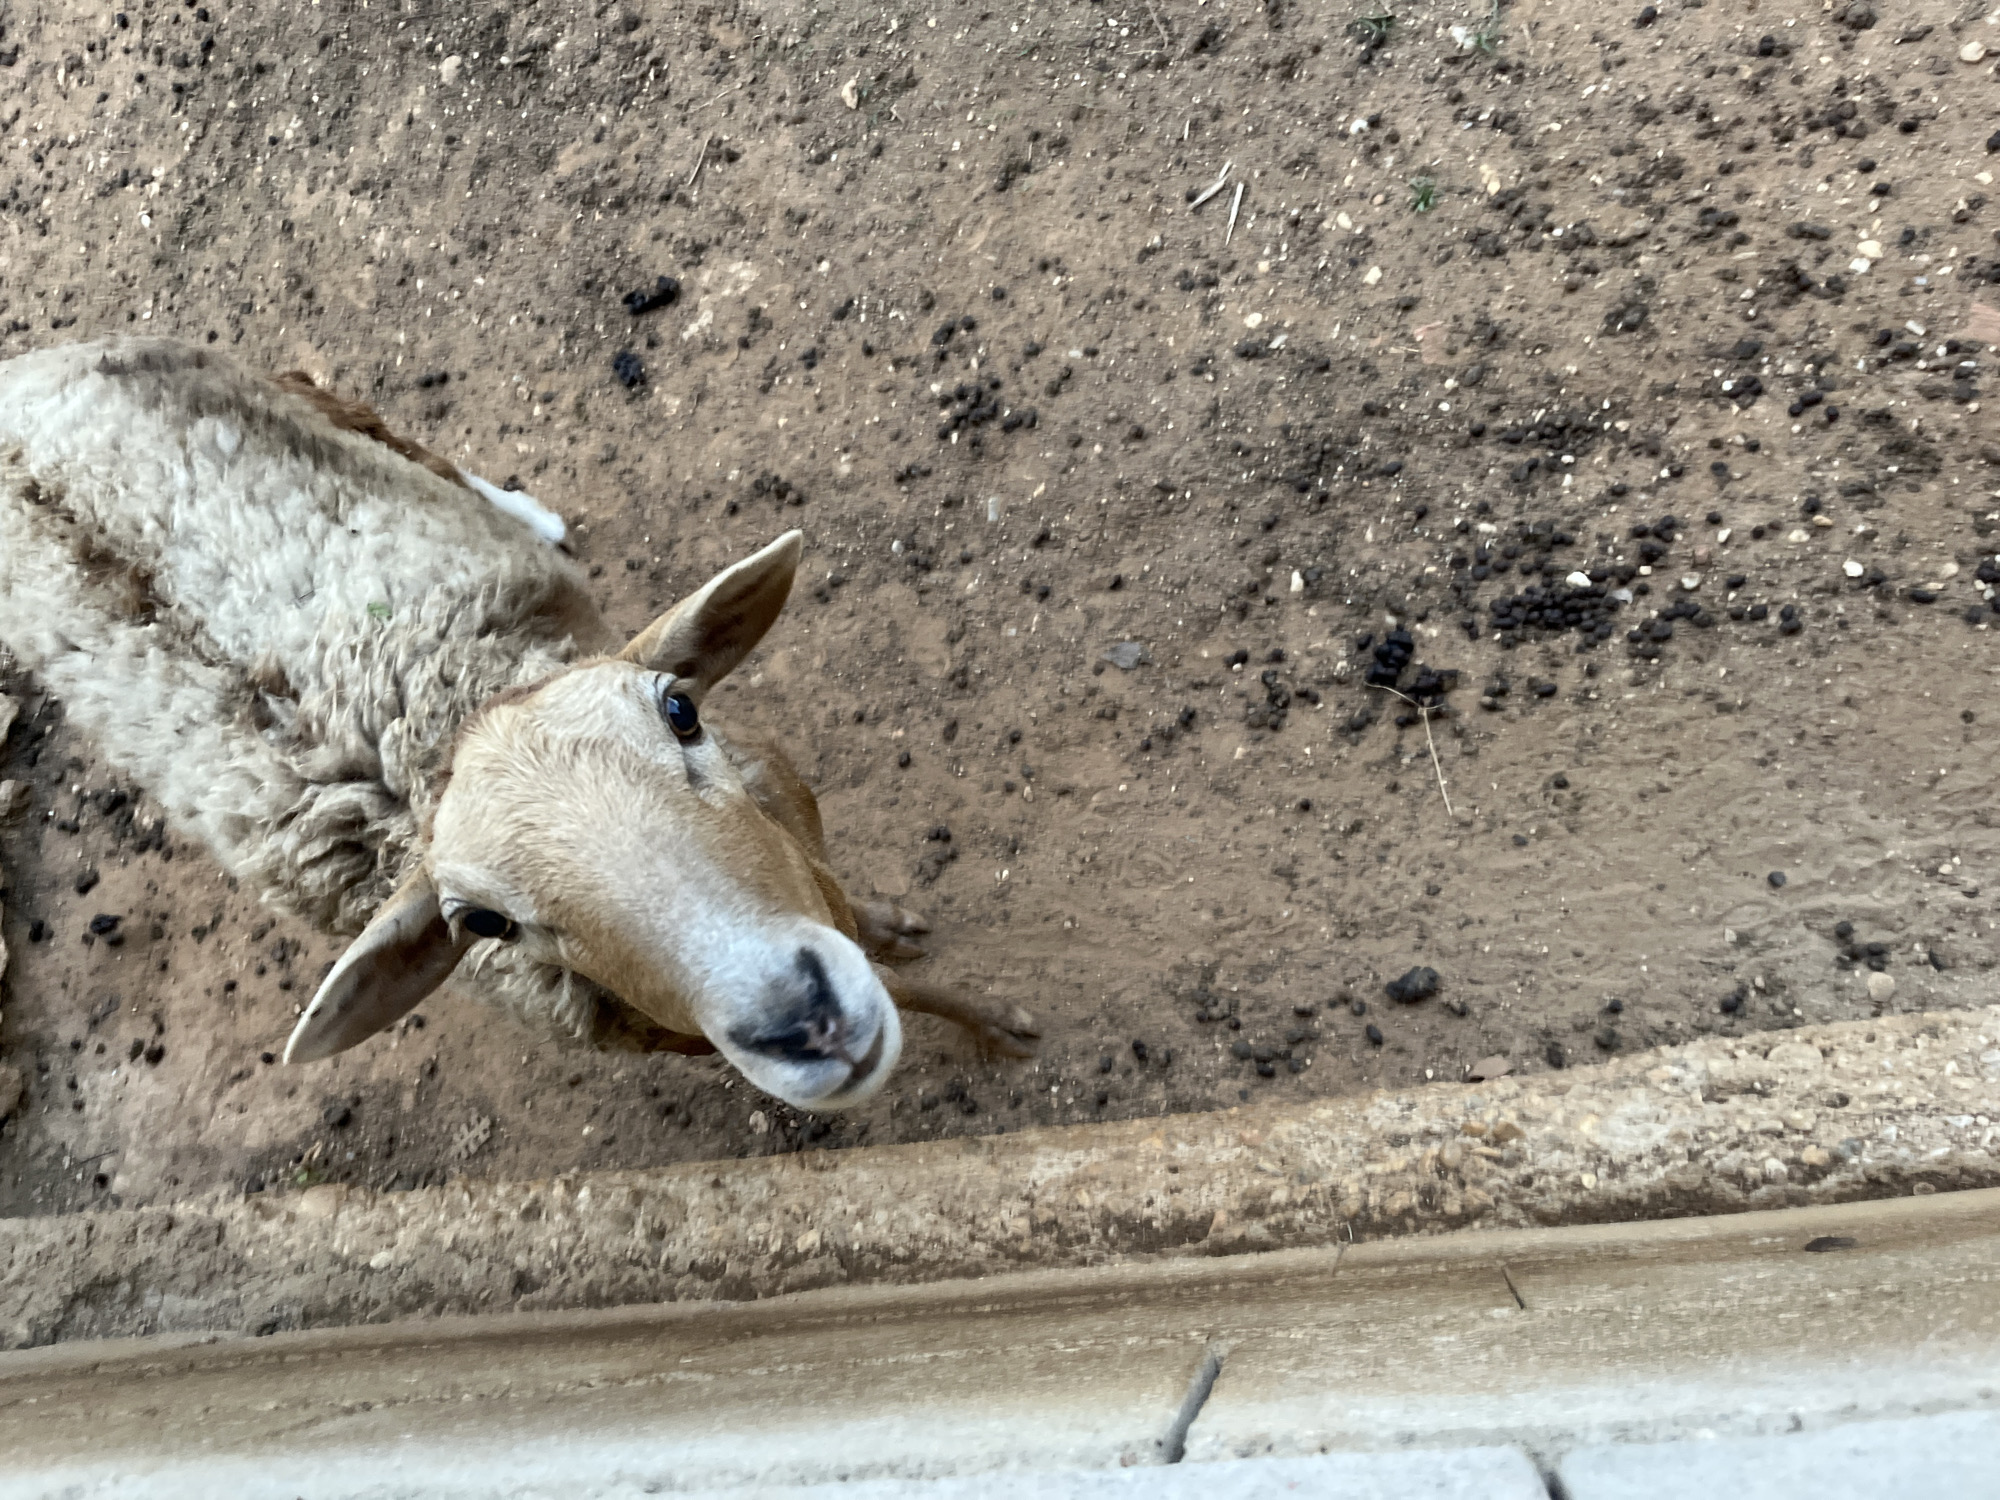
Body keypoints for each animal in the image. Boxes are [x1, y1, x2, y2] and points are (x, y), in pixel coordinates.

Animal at [0, 338, 1036, 1109]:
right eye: (486, 925)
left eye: (680, 710)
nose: (802, 1018)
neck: (435, 731)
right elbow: (890, 972)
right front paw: (984, 1014)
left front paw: (961, 988)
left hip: (275, 391)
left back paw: (527, 514)